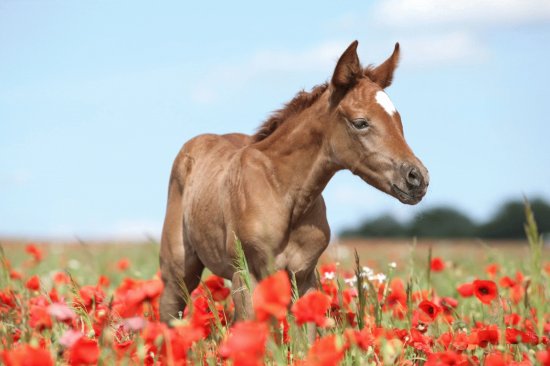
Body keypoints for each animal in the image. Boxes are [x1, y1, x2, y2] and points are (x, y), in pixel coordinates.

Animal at [160, 40, 432, 324]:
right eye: (360, 122)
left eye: (398, 119)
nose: (417, 177)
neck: (284, 193)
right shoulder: (247, 276)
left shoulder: (303, 277)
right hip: (178, 274)